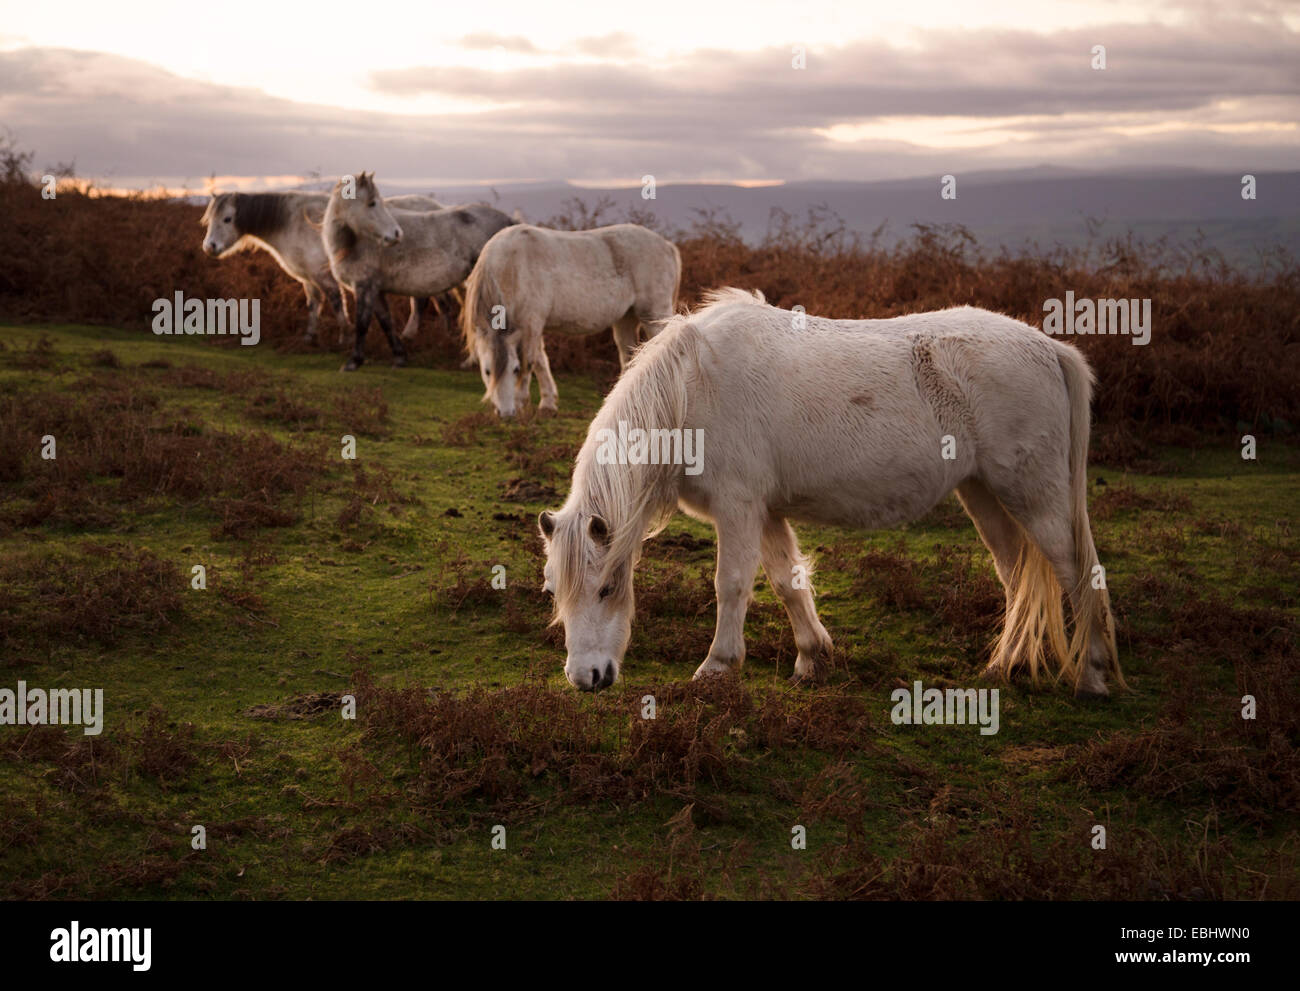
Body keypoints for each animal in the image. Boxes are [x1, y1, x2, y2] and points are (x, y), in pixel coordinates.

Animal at [200, 188, 444, 343]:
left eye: (227, 219)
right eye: (210, 220)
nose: (209, 247)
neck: (292, 222)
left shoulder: (323, 275)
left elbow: (336, 302)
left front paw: (345, 335)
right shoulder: (308, 278)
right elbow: (313, 304)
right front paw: (310, 336)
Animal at [319, 171, 512, 369]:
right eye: (372, 203)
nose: (396, 234)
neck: (358, 242)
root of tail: (509, 222)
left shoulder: (364, 287)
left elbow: (362, 323)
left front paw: (353, 362)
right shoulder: (375, 290)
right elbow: (386, 322)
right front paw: (399, 357)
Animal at [462, 222, 681, 416]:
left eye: (515, 370)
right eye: (487, 371)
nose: (506, 414)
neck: (510, 266)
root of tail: (666, 245)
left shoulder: (531, 323)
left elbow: (530, 361)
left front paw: (521, 402)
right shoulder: (533, 326)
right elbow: (541, 361)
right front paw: (548, 404)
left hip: (654, 314)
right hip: (626, 319)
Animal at [540, 290, 1128, 697]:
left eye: (607, 590)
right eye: (554, 592)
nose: (586, 678)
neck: (692, 389)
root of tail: (1050, 348)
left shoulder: (738, 509)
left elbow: (732, 585)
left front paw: (718, 667)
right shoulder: (766, 513)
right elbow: (787, 582)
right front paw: (812, 658)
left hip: (1035, 497)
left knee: (1079, 575)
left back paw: (1093, 677)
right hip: (984, 494)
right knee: (1016, 575)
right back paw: (1002, 667)